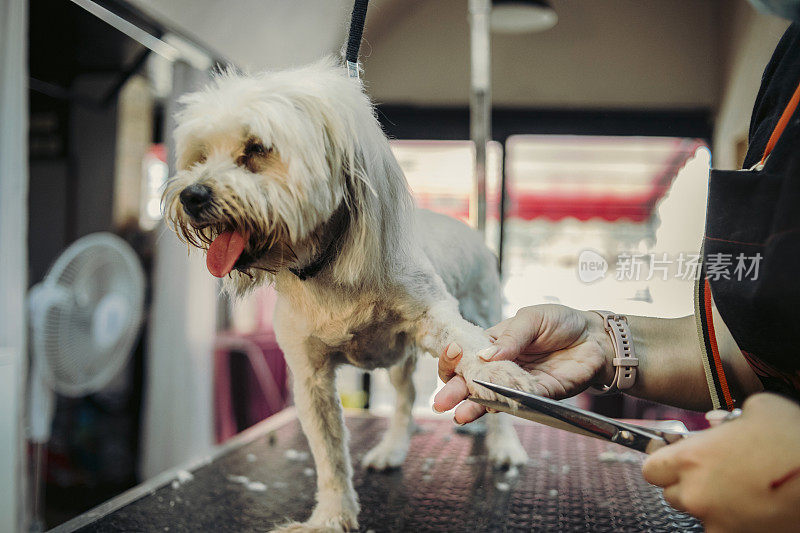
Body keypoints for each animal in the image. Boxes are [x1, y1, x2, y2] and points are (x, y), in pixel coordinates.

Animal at [162, 58, 536, 528]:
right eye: (200, 155)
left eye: (257, 149)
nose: (192, 195)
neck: (323, 269)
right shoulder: (310, 376)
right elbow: (329, 455)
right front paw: (332, 515)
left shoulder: (432, 314)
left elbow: (470, 345)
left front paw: (501, 374)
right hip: (400, 364)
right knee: (404, 401)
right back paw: (393, 448)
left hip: (477, 310)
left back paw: (504, 445)